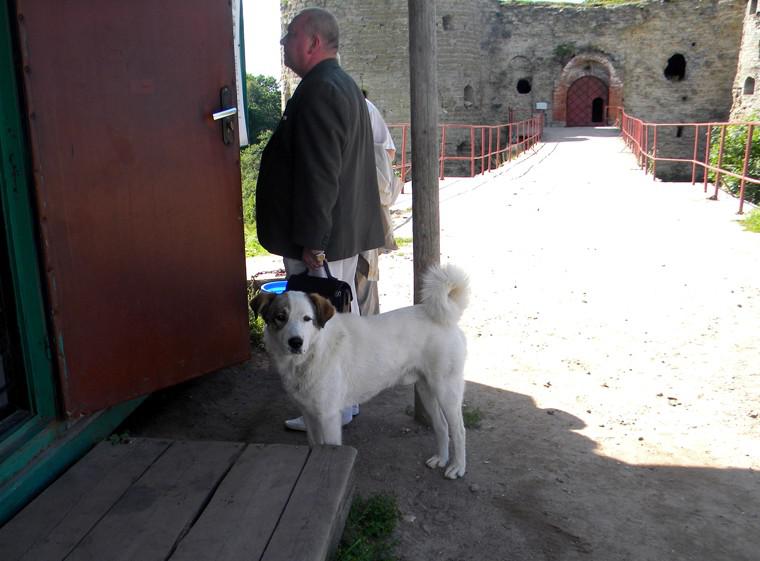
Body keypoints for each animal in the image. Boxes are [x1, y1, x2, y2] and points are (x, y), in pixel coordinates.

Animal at [252, 262, 470, 476]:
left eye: (307, 318)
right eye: (280, 317)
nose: (295, 342)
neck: (312, 353)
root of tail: (444, 317)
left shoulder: (328, 417)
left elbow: (327, 449)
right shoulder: (309, 415)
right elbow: (315, 446)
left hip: (446, 390)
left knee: (459, 430)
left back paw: (457, 467)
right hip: (426, 389)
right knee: (442, 426)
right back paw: (441, 459)